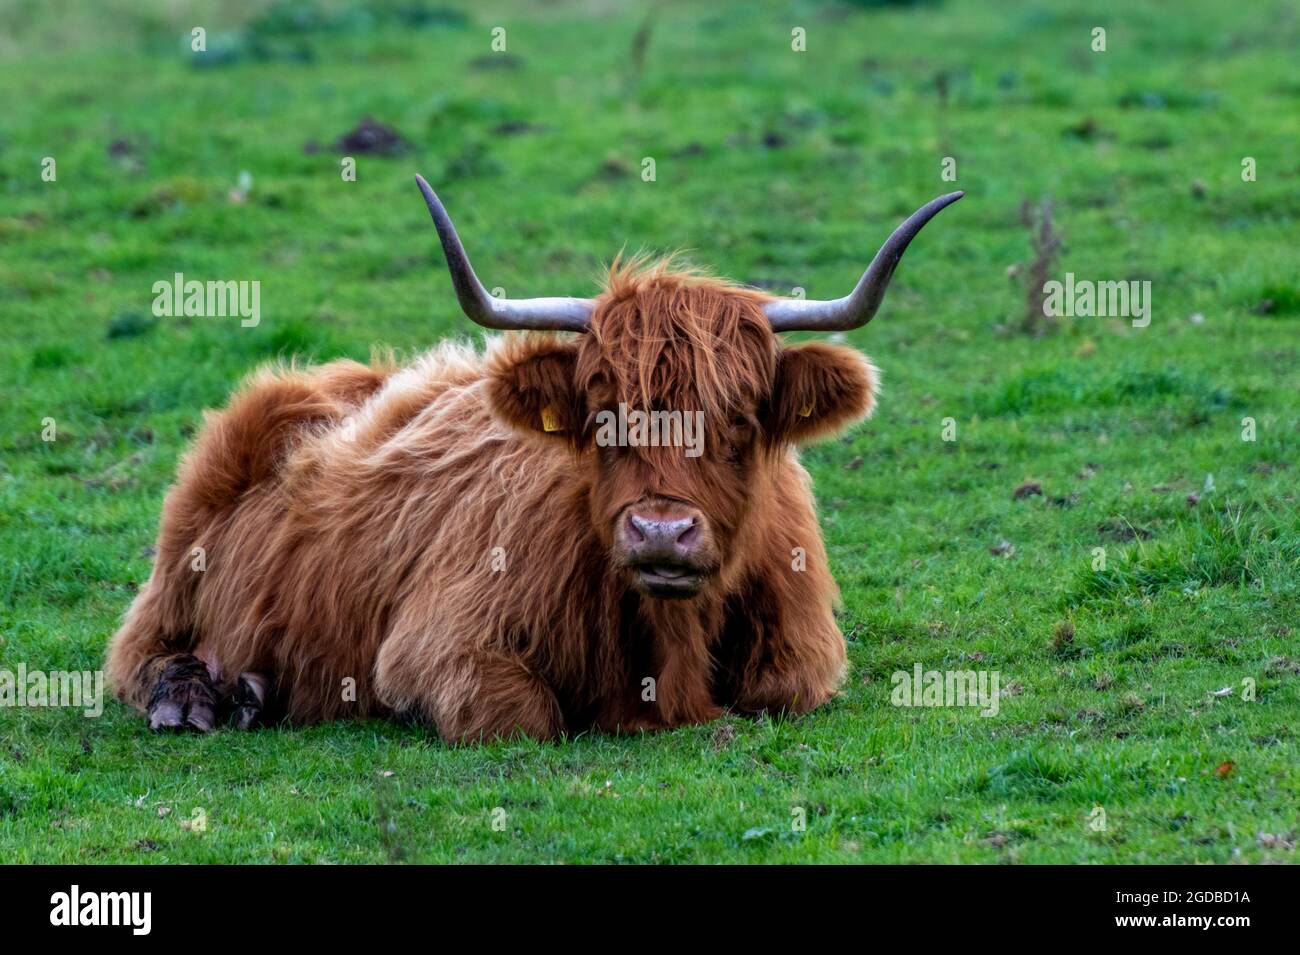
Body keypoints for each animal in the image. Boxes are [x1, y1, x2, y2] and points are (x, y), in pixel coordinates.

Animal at [104, 176, 961, 742]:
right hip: (177, 576)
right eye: (604, 416)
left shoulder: (806, 649)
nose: (661, 532)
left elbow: (783, 689)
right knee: (136, 652)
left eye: (741, 418)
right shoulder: (435, 645)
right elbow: (525, 716)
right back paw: (200, 698)